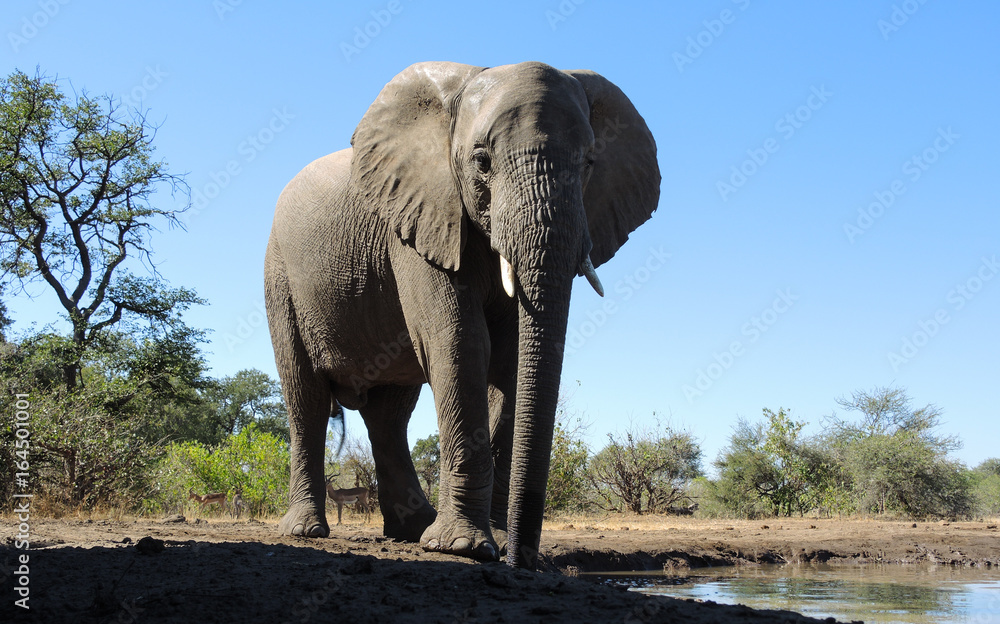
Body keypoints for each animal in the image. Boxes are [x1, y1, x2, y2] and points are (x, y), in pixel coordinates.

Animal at [264, 61, 659, 568]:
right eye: (482, 162)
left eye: (590, 162)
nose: (525, 560)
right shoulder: (416, 224)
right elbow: (460, 342)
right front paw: (465, 548)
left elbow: (510, 358)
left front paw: (491, 541)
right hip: (281, 277)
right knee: (306, 397)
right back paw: (308, 531)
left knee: (389, 413)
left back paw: (411, 531)